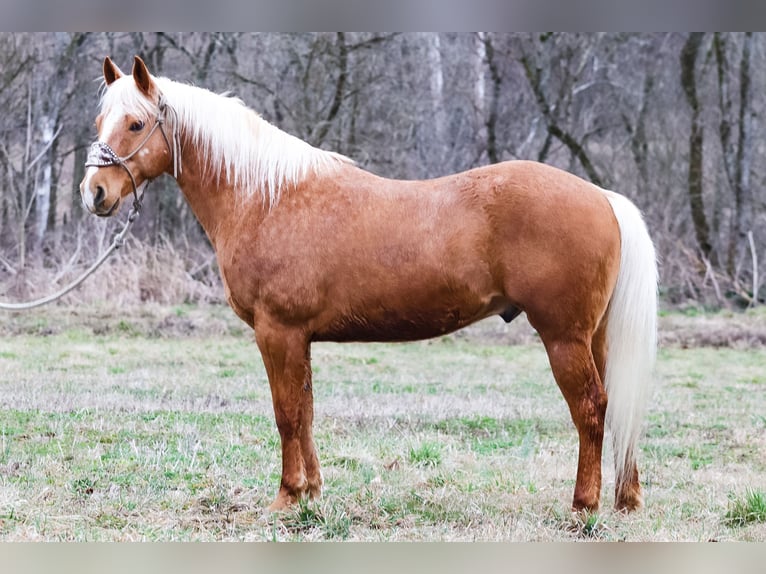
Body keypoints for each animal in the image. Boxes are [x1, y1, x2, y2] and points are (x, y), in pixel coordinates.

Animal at [79, 57, 660, 516]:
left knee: (590, 408)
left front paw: (286, 497)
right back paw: (624, 499)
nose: (95, 192)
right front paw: (311, 493)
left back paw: (583, 506)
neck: (265, 196)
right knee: (613, 407)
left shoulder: (277, 332)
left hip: (563, 338)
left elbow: (286, 414)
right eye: (100, 120)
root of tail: (602, 196)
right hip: (593, 337)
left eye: (135, 123)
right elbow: (306, 412)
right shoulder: (299, 338)